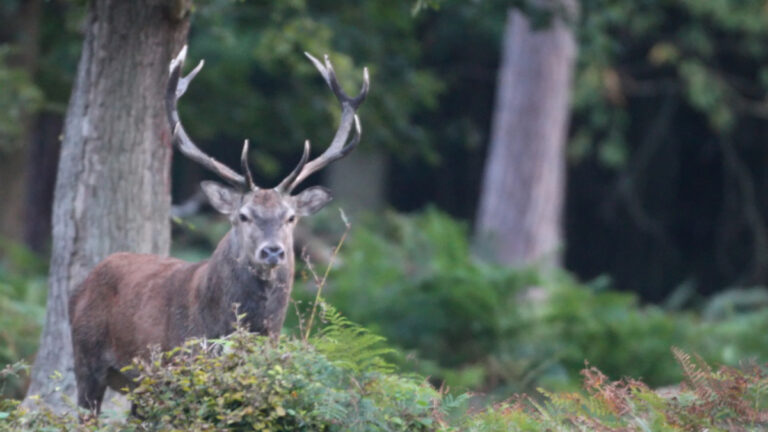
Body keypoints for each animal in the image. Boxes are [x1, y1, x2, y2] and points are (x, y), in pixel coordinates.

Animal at [68, 46, 369, 413]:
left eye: (290, 217)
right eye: (243, 215)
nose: (273, 251)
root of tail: (82, 283)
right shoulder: (175, 368)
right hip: (88, 360)